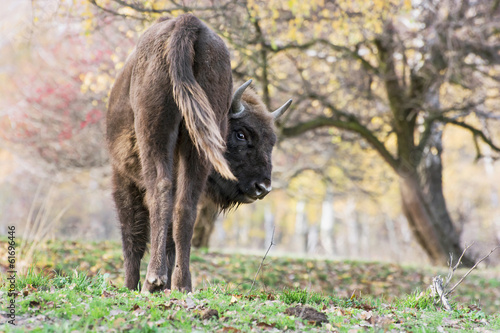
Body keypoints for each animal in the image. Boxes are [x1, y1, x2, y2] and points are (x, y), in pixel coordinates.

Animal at [107, 14, 292, 292]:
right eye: (241, 134)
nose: (262, 187)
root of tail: (188, 24)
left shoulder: (122, 175)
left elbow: (133, 236)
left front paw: (131, 285)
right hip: (198, 145)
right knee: (185, 206)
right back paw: (183, 284)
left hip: (155, 133)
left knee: (161, 192)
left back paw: (155, 280)